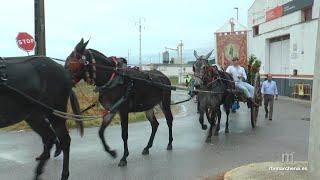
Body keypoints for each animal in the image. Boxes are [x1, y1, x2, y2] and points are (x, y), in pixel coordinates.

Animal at [65, 38, 174, 167]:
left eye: (69, 64)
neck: (112, 79)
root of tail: (164, 76)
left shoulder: (123, 110)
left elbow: (124, 134)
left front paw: (124, 157)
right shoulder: (111, 110)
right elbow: (100, 132)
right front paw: (111, 152)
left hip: (164, 103)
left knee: (169, 120)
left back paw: (170, 143)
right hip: (148, 107)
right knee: (155, 124)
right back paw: (147, 147)